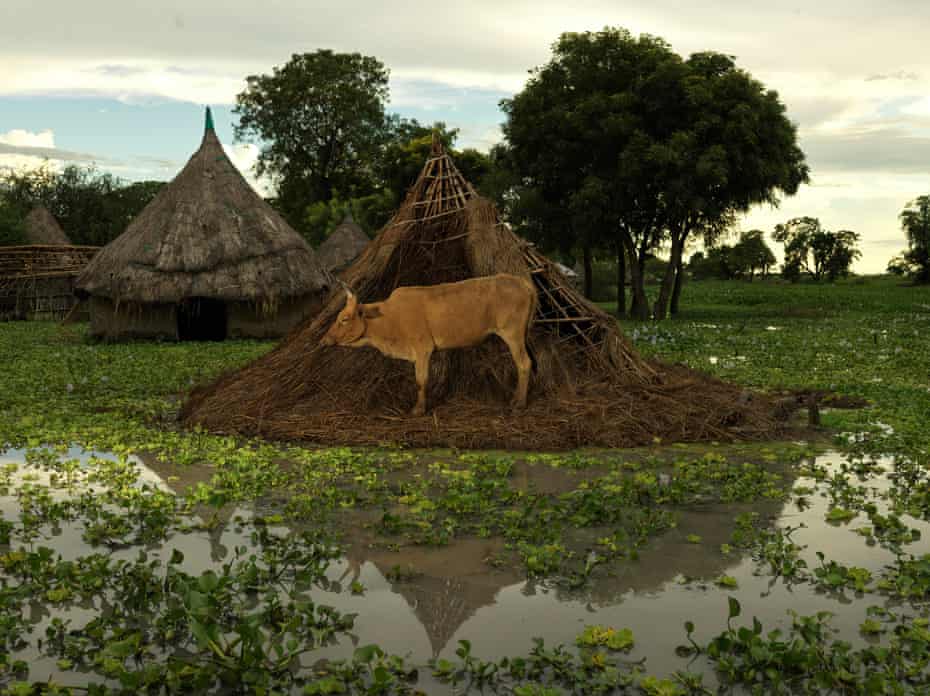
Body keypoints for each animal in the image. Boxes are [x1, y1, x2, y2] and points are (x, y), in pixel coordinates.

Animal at [320, 274, 532, 416]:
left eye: (344, 319)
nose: (324, 340)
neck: (389, 318)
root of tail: (522, 282)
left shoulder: (422, 349)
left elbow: (421, 381)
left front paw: (418, 410)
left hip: (512, 334)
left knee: (524, 363)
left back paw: (519, 403)